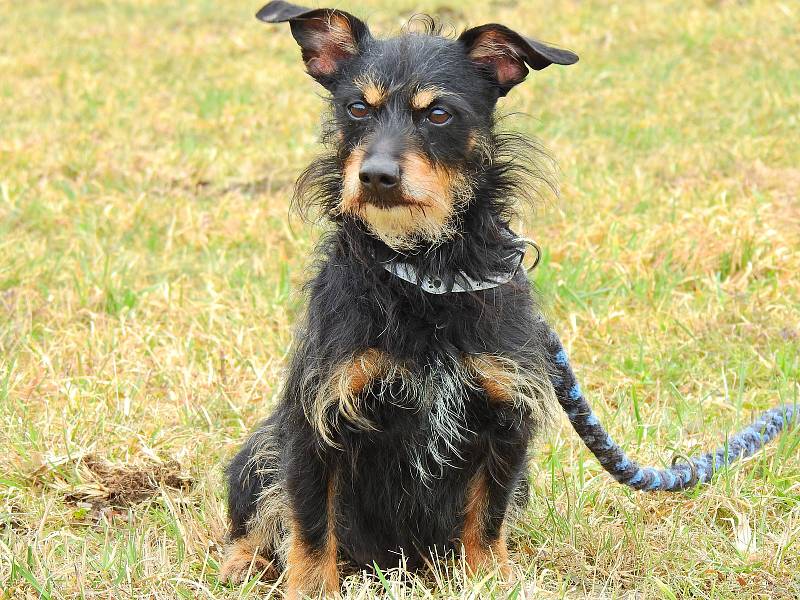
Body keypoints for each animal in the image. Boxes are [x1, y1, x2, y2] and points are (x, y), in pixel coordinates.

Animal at [222, 3, 580, 596]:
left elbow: (487, 517)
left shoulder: (506, 416)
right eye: (357, 108)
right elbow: (310, 525)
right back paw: (243, 561)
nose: (376, 175)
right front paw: (311, 587)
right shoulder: (314, 419)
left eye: (438, 113)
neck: (424, 273)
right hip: (259, 448)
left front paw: (490, 577)